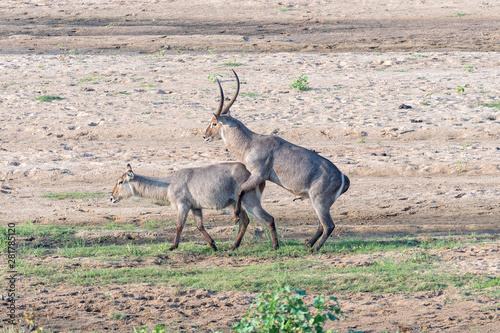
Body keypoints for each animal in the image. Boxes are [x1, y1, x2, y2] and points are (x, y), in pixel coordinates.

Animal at [110, 162, 280, 250]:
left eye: (120, 182)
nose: (111, 198)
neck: (168, 183)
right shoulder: (195, 207)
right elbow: (200, 226)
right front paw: (213, 245)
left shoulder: (183, 205)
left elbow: (179, 225)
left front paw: (173, 246)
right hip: (236, 205)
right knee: (245, 221)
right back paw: (233, 246)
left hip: (250, 203)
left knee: (269, 219)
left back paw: (275, 246)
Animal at [205, 70, 350, 252]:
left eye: (214, 123)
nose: (204, 135)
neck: (250, 143)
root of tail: (343, 177)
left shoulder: (258, 175)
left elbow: (241, 190)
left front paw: (236, 216)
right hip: (318, 202)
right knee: (321, 225)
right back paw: (307, 244)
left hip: (320, 201)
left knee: (329, 225)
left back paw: (314, 249)